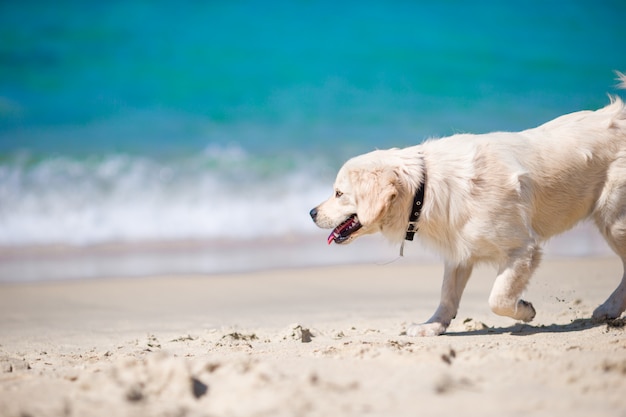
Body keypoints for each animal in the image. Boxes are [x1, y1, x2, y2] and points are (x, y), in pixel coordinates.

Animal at [308, 73, 624, 334]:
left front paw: (524, 310)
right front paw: (432, 326)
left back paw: (608, 308)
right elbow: (447, 293)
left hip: (614, 219)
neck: (424, 188)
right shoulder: (459, 249)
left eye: (338, 193)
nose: (311, 212)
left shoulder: (523, 248)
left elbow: (498, 298)